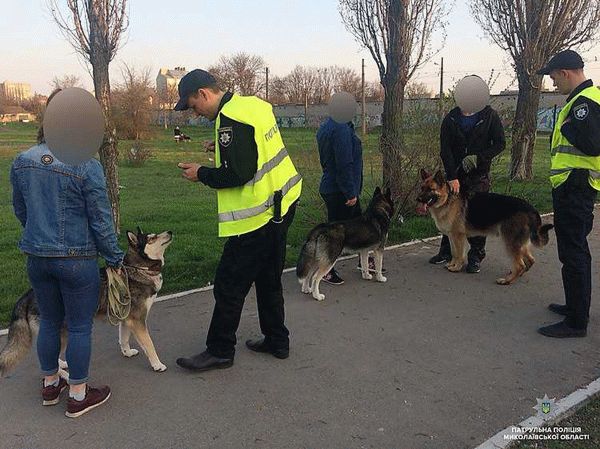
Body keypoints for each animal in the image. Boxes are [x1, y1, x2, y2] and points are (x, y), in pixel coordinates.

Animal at [0, 226, 173, 376]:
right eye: (151, 238)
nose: (170, 232)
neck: (139, 269)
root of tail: (27, 295)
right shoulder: (138, 321)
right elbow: (149, 345)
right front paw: (157, 365)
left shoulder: (126, 319)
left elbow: (123, 339)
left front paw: (127, 352)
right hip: (64, 332)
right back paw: (63, 375)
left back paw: (61, 365)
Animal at [418, 170, 552, 286]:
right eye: (422, 188)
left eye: (431, 189)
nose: (418, 199)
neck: (447, 199)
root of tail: (531, 209)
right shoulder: (452, 236)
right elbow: (454, 252)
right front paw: (452, 265)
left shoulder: (458, 236)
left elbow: (459, 254)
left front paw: (456, 268)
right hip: (520, 244)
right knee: (530, 260)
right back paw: (516, 275)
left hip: (510, 243)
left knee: (520, 265)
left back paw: (507, 280)